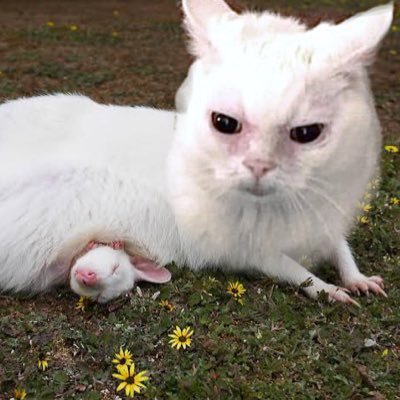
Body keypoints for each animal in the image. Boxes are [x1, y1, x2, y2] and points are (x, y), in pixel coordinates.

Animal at [0, 1, 392, 304]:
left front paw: (358, 280)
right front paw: (331, 291)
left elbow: (339, 245)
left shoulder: (324, 211)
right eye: (225, 122)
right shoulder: (246, 249)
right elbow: (293, 270)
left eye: (307, 131)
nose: (258, 167)